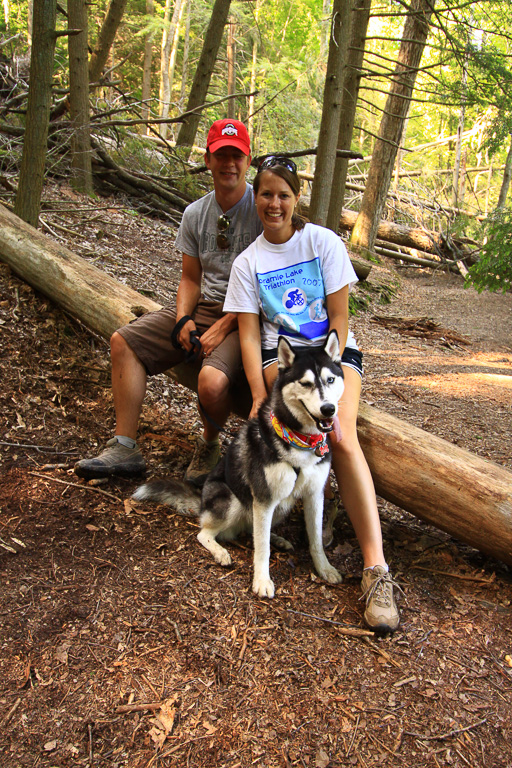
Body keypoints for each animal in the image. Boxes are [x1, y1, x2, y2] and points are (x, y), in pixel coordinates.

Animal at [134, 332, 346, 600]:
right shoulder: (263, 498)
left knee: (254, 531)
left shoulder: (314, 495)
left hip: (278, 507)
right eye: (306, 383)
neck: (301, 442)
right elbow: (262, 549)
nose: (328, 409)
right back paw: (220, 551)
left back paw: (277, 539)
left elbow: (315, 539)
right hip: (234, 500)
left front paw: (324, 568)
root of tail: (201, 501)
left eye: (330, 380)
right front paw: (262, 581)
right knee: (206, 533)